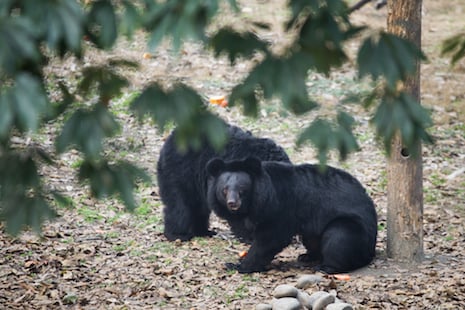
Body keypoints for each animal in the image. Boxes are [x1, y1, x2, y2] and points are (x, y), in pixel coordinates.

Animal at [159, 123, 290, 242]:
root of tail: (170, 139)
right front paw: (248, 236)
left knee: (199, 207)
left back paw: (204, 232)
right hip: (181, 173)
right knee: (180, 206)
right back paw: (178, 235)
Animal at [207, 157, 376, 274]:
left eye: (242, 189)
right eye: (224, 189)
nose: (232, 203)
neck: (255, 202)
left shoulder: (280, 207)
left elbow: (270, 239)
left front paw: (239, 265)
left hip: (352, 227)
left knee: (339, 237)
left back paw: (325, 267)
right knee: (312, 239)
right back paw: (307, 256)